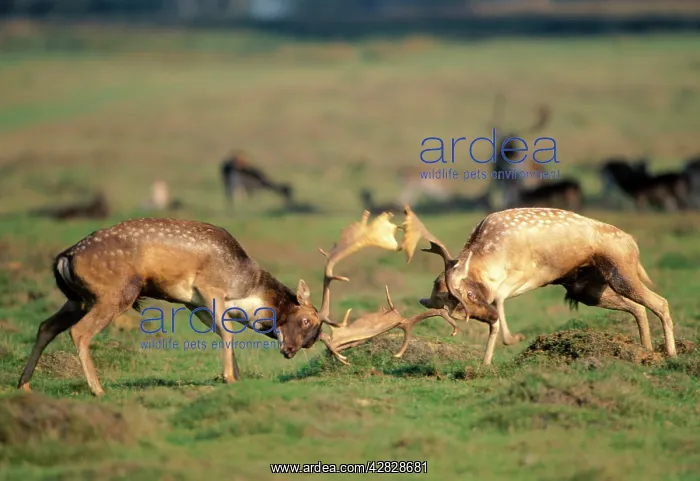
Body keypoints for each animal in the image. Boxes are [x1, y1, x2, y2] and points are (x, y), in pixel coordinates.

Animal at [400, 205, 677, 366]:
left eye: (468, 293)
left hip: (621, 274)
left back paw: (671, 355)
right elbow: (496, 317)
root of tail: (632, 242)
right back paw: (646, 352)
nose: (488, 315)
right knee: (639, 308)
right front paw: (485, 364)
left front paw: (514, 339)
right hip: (588, 290)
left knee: (660, 302)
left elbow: (499, 298)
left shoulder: (529, 275)